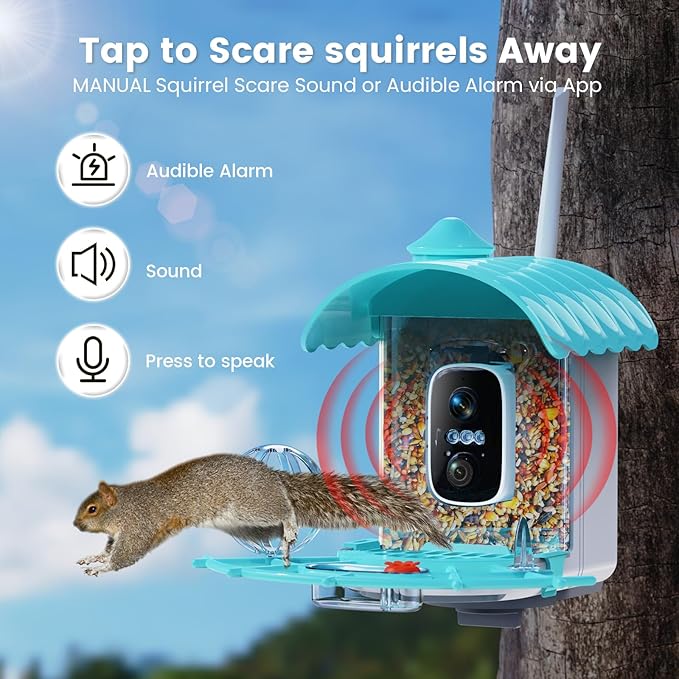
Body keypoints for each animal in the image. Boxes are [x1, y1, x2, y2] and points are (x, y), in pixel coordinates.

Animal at [74, 453, 449, 576]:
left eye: (92, 508)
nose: (76, 524)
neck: (124, 506)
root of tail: (275, 477)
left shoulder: (140, 525)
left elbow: (126, 554)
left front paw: (103, 568)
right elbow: (108, 549)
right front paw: (94, 558)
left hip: (252, 505)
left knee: (283, 509)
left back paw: (291, 526)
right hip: (247, 525)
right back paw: (283, 546)